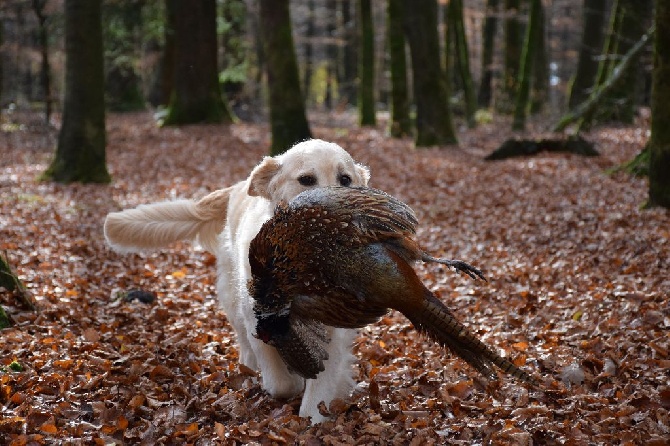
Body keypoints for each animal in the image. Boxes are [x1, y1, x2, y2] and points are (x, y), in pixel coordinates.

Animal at [103, 139, 372, 422]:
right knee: (245, 345)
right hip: (233, 299)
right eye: (306, 179)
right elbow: (281, 382)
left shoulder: (334, 328)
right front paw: (293, 382)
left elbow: (319, 389)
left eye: (345, 179)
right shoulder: (257, 318)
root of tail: (236, 187)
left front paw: (313, 419)